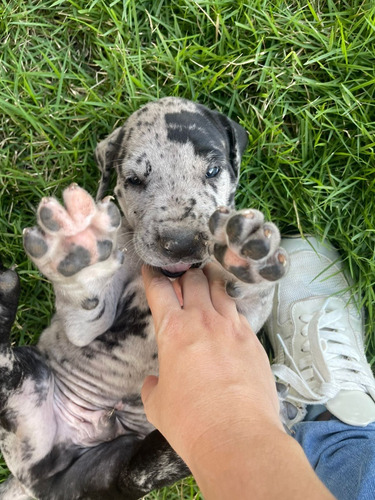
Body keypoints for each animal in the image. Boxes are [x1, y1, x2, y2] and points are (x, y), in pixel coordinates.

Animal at [0, 95, 288, 498]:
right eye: (135, 180)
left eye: (214, 169)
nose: (181, 243)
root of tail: (37, 483)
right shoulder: (85, 325)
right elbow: (85, 311)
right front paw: (79, 252)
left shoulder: (242, 316)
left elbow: (253, 293)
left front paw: (247, 253)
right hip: (29, 388)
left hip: (114, 467)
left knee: (140, 468)